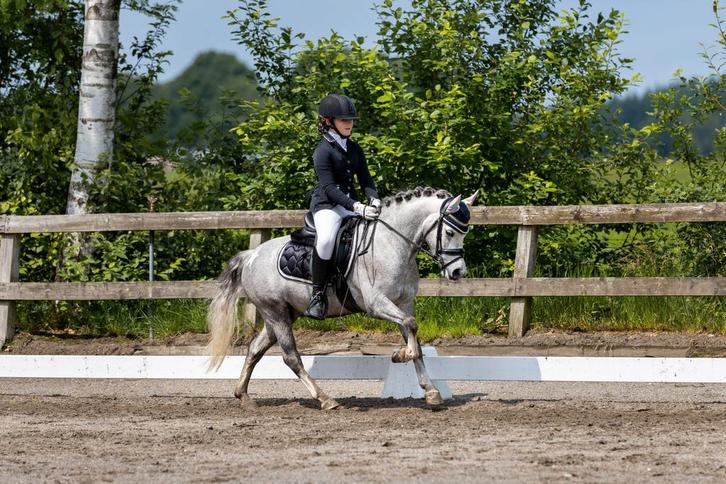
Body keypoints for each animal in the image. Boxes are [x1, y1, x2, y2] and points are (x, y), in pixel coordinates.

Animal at [207, 187, 478, 409]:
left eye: (464, 233)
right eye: (451, 231)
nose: (458, 272)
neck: (391, 243)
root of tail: (251, 255)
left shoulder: (404, 303)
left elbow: (416, 339)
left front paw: (431, 391)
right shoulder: (376, 304)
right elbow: (411, 328)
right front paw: (400, 355)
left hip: (281, 314)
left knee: (255, 349)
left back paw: (243, 396)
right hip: (275, 313)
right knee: (291, 357)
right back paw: (325, 399)